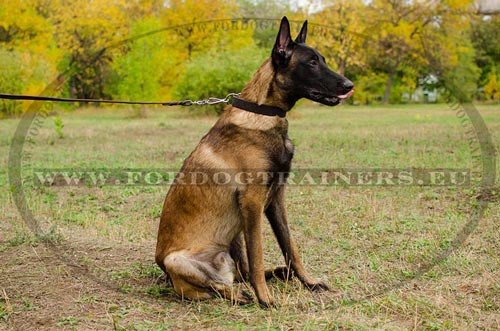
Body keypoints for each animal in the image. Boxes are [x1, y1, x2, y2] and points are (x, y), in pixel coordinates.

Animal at [154, 16, 354, 308]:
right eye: (312, 62)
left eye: (323, 60)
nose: (349, 85)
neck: (264, 112)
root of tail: (165, 274)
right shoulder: (253, 202)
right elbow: (258, 254)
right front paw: (266, 299)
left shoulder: (275, 199)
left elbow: (290, 247)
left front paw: (308, 282)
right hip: (177, 259)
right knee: (219, 285)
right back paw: (241, 294)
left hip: (234, 238)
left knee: (242, 273)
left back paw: (277, 274)